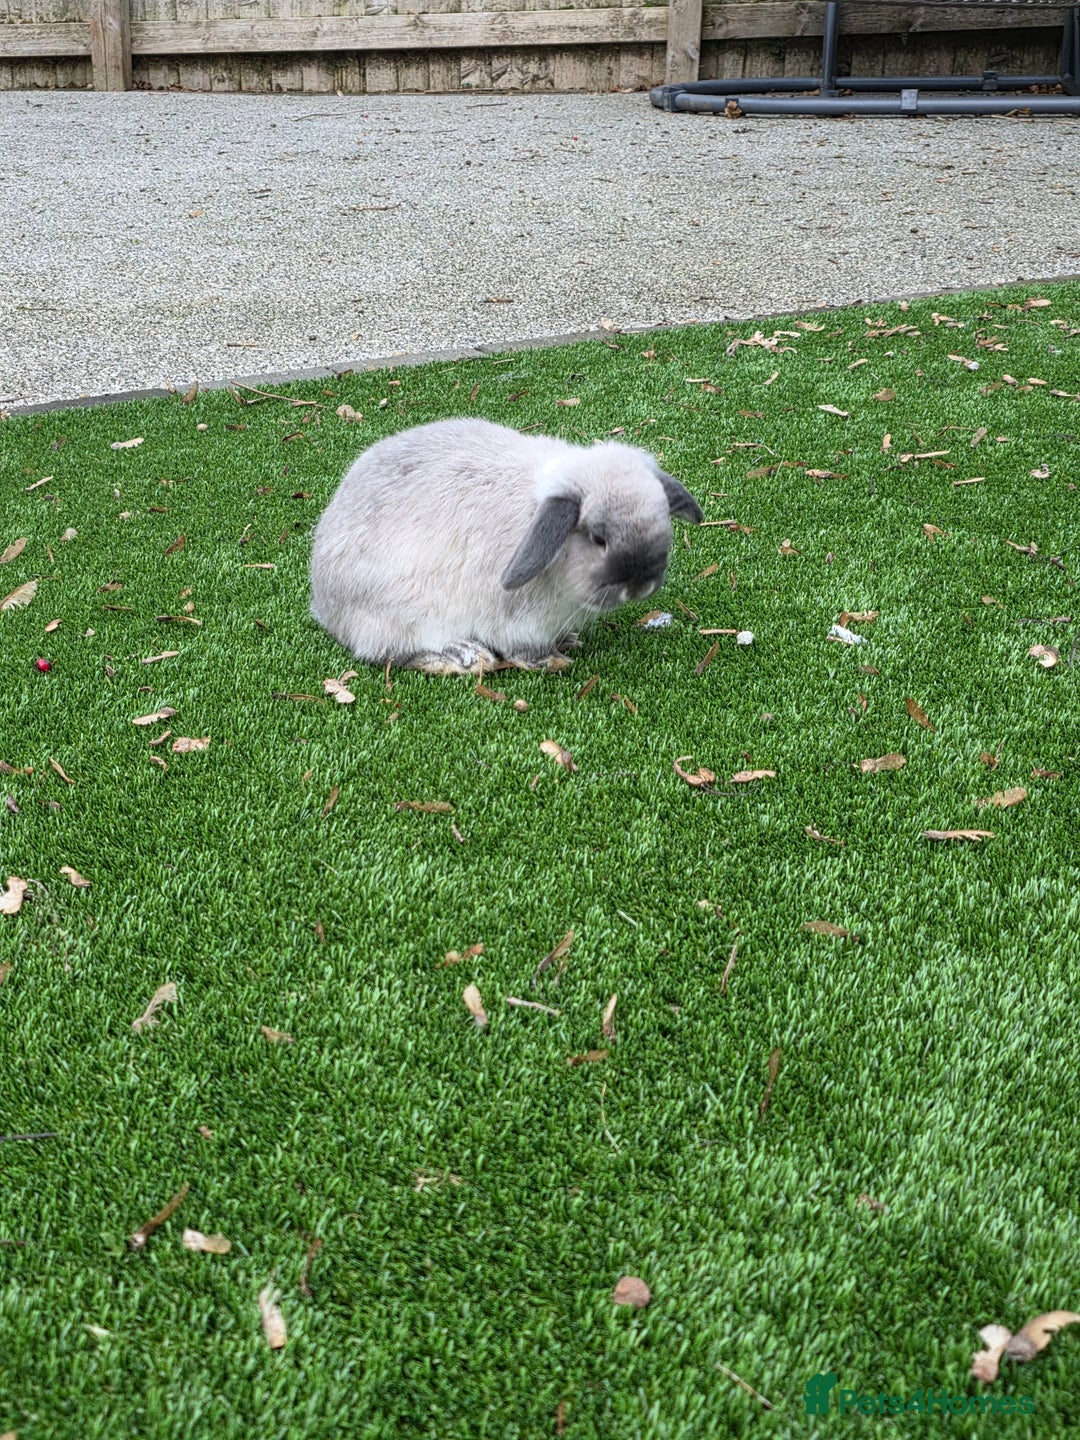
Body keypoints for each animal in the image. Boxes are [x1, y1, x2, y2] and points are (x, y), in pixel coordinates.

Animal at [310, 416, 703, 674]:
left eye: (662, 517)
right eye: (598, 538)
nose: (643, 586)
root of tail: (326, 608)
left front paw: (568, 641)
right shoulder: (519, 621)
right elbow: (524, 650)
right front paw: (551, 660)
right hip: (400, 616)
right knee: (393, 652)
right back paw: (462, 657)